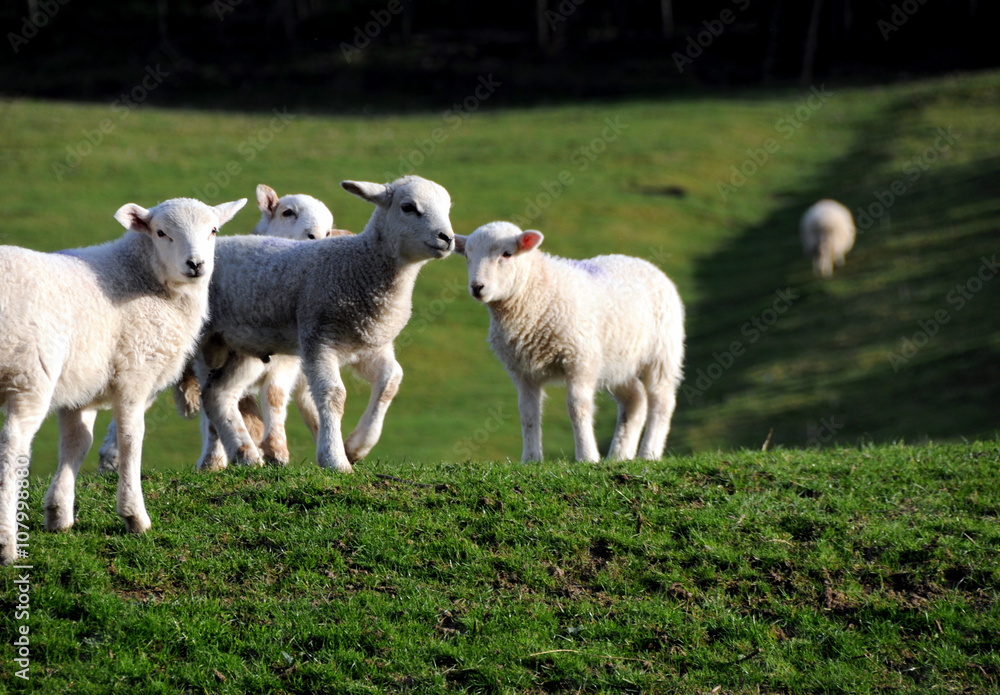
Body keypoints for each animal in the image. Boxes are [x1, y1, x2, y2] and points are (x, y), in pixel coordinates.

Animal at [0, 196, 246, 564]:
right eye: (161, 233)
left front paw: (59, 513)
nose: (196, 264)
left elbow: (77, 443)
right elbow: (131, 439)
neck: (141, 277)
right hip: (29, 374)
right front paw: (134, 515)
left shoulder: (80, 386)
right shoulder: (135, 373)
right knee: (12, 448)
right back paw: (8, 544)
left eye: (214, 230)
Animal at [95, 184, 350, 473]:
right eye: (288, 212)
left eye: (328, 232)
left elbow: (274, 397)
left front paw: (277, 451)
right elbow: (214, 406)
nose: (314, 237)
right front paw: (215, 460)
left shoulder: (287, 361)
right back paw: (110, 459)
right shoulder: (210, 358)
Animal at [199, 175, 455, 473]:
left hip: (246, 345)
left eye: (447, 208)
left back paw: (245, 454)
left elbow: (391, 380)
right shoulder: (319, 339)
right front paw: (335, 459)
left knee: (218, 393)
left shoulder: (368, 344)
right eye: (408, 207)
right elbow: (333, 395)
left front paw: (357, 446)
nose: (447, 238)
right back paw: (220, 458)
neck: (358, 266)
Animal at [453, 221, 685, 463]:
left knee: (662, 401)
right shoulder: (521, 369)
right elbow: (527, 413)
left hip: (663, 352)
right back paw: (619, 455)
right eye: (467, 255)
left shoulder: (579, 358)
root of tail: (645, 264)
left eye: (507, 254)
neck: (536, 295)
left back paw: (649, 453)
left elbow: (577, 408)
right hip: (616, 361)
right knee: (635, 399)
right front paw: (530, 459)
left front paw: (587, 456)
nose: (477, 287)